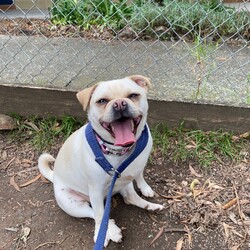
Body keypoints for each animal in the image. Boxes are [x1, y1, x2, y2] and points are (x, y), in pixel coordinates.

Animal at [38, 75, 164, 247]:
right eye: (102, 101)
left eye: (133, 95)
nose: (119, 103)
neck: (120, 151)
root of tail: (55, 177)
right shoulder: (95, 190)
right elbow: (99, 214)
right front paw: (102, 233)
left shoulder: (139, 166)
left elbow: (139, 176)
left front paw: (145, 188)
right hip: (73, 205)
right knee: (96, 213)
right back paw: (111, 230)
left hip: (122, 186)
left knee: (130, 198)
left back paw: (151, 206)